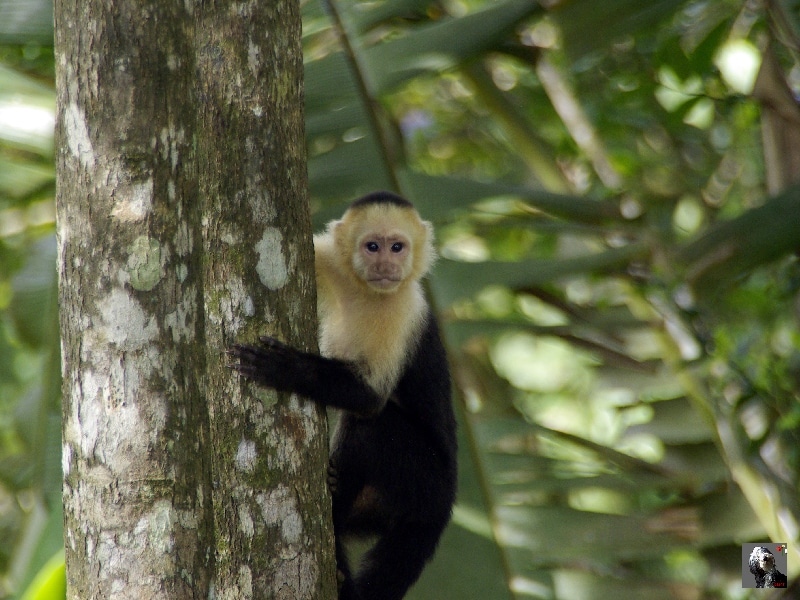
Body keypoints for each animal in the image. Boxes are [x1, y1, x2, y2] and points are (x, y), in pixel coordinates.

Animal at [229, 191, 457, 600]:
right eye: (372, 246)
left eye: (397, 247)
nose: (386, 264)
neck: (370, 292)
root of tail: (444, 508)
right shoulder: (332, 263)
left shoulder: (402, 313)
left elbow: (370, 398)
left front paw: (287, 369)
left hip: (427, 485)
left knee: (372, 428)